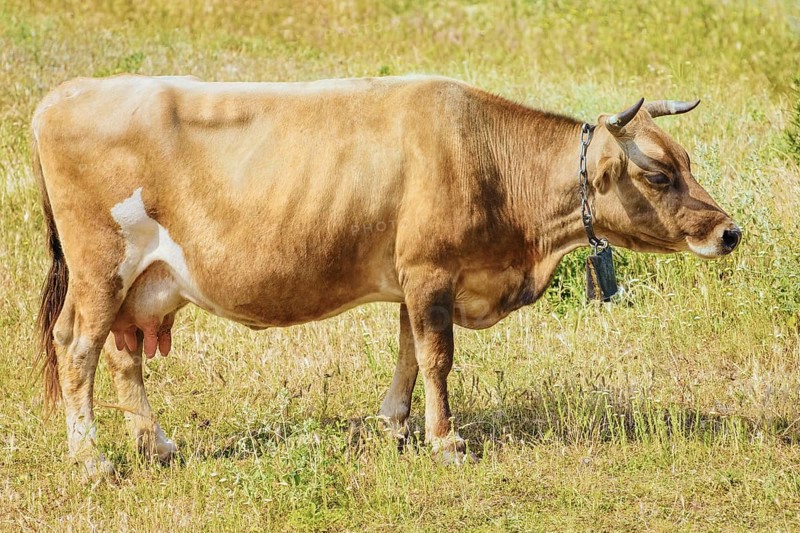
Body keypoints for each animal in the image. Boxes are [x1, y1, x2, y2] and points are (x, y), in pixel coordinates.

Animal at [31, 75, 740, 476]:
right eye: (658, 174)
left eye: (687, 159)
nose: (728, 231)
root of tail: (60, 96)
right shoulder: (430, 269)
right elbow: (436, 356)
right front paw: (445, 440)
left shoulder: (414, 276)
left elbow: (406, 350)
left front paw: (397, 424)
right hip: (100, 268)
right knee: (77, 347)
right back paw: (91, 459)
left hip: (139, 283)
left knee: (123, 354)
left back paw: (156, 445)